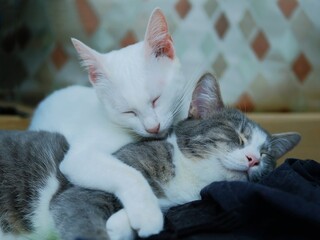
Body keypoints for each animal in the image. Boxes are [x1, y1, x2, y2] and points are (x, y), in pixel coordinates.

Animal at [0, 73, 300, 240]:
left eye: (266, 154)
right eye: (237, 136)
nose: (253, 159)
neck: (188, 181)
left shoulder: (177, 204)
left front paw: (125, 224)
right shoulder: (80, 192)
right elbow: (82, 214)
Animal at [28, 7, 192, 238]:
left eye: (156, 99)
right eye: (128, 112)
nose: (152, 127)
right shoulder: (78, 159)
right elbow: (129, 174)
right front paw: (147, 214)